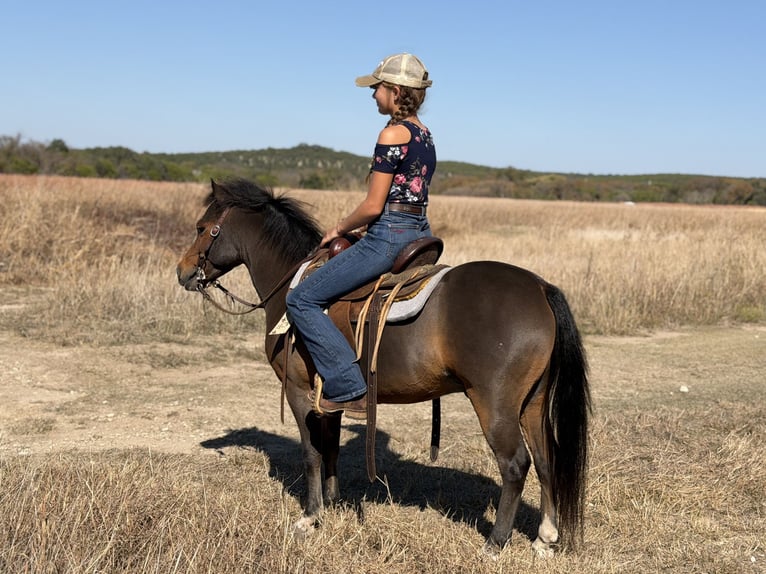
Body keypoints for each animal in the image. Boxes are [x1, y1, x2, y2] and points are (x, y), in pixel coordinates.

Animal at [176, 178, 591, 556]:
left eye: (202, 227)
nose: (183, 272)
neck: (289, 283)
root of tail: (539, 287)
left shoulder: (298, 391)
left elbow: (310, 452)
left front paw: (310, 516)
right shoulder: (331, 396)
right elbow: (331, 448)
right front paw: (334, 503)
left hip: (495, 404)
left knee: (515, 464)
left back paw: (495, 543)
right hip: (532, 402)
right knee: (546, 459)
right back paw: (544, 538)